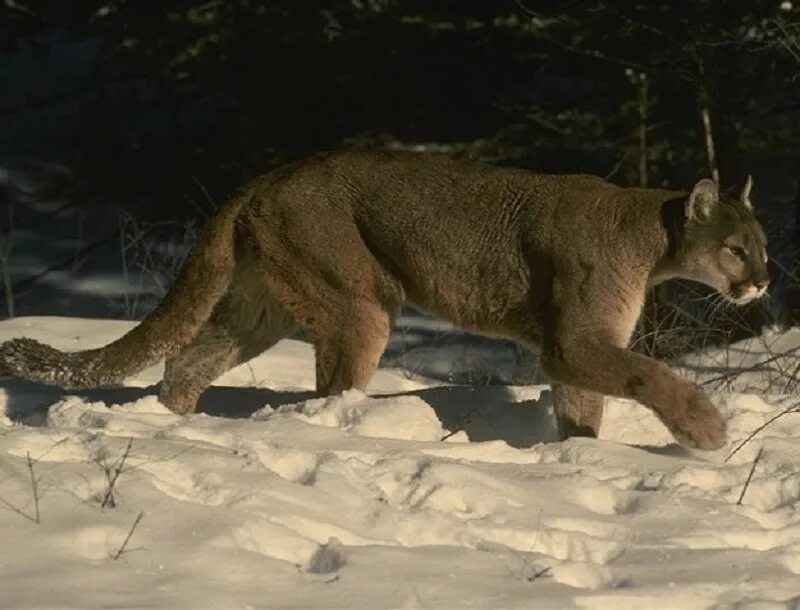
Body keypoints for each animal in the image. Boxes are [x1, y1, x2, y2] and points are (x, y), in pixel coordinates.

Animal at [3, 152, 772, 446]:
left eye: (763, 245)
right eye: (736, 249)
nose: (765, 279)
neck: (650, 238)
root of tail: (268, 175)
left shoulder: (580, 348)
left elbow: (584, 411)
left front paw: (576, 457)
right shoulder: (576, 339)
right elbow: (647, 375)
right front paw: (705, 429)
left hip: (265, 303)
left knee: (187, 361)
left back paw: (177, 428)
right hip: (357, 302)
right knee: (330, 388)